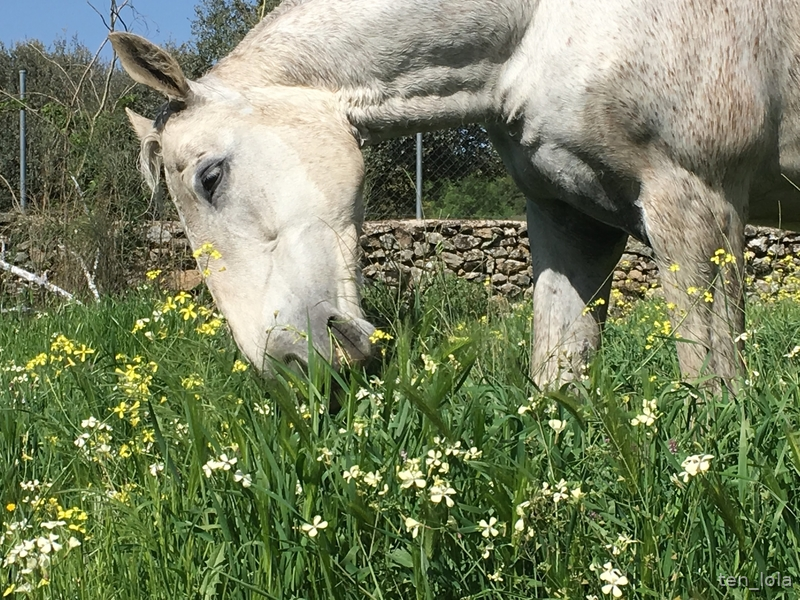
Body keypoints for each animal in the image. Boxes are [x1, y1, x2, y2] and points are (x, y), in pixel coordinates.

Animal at [109, 0, 800, 385]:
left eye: (210, 177)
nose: (288, 365)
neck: (541, 23)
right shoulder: (570, 218)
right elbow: (558, 375)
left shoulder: (696, 206)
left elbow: (713, 386)